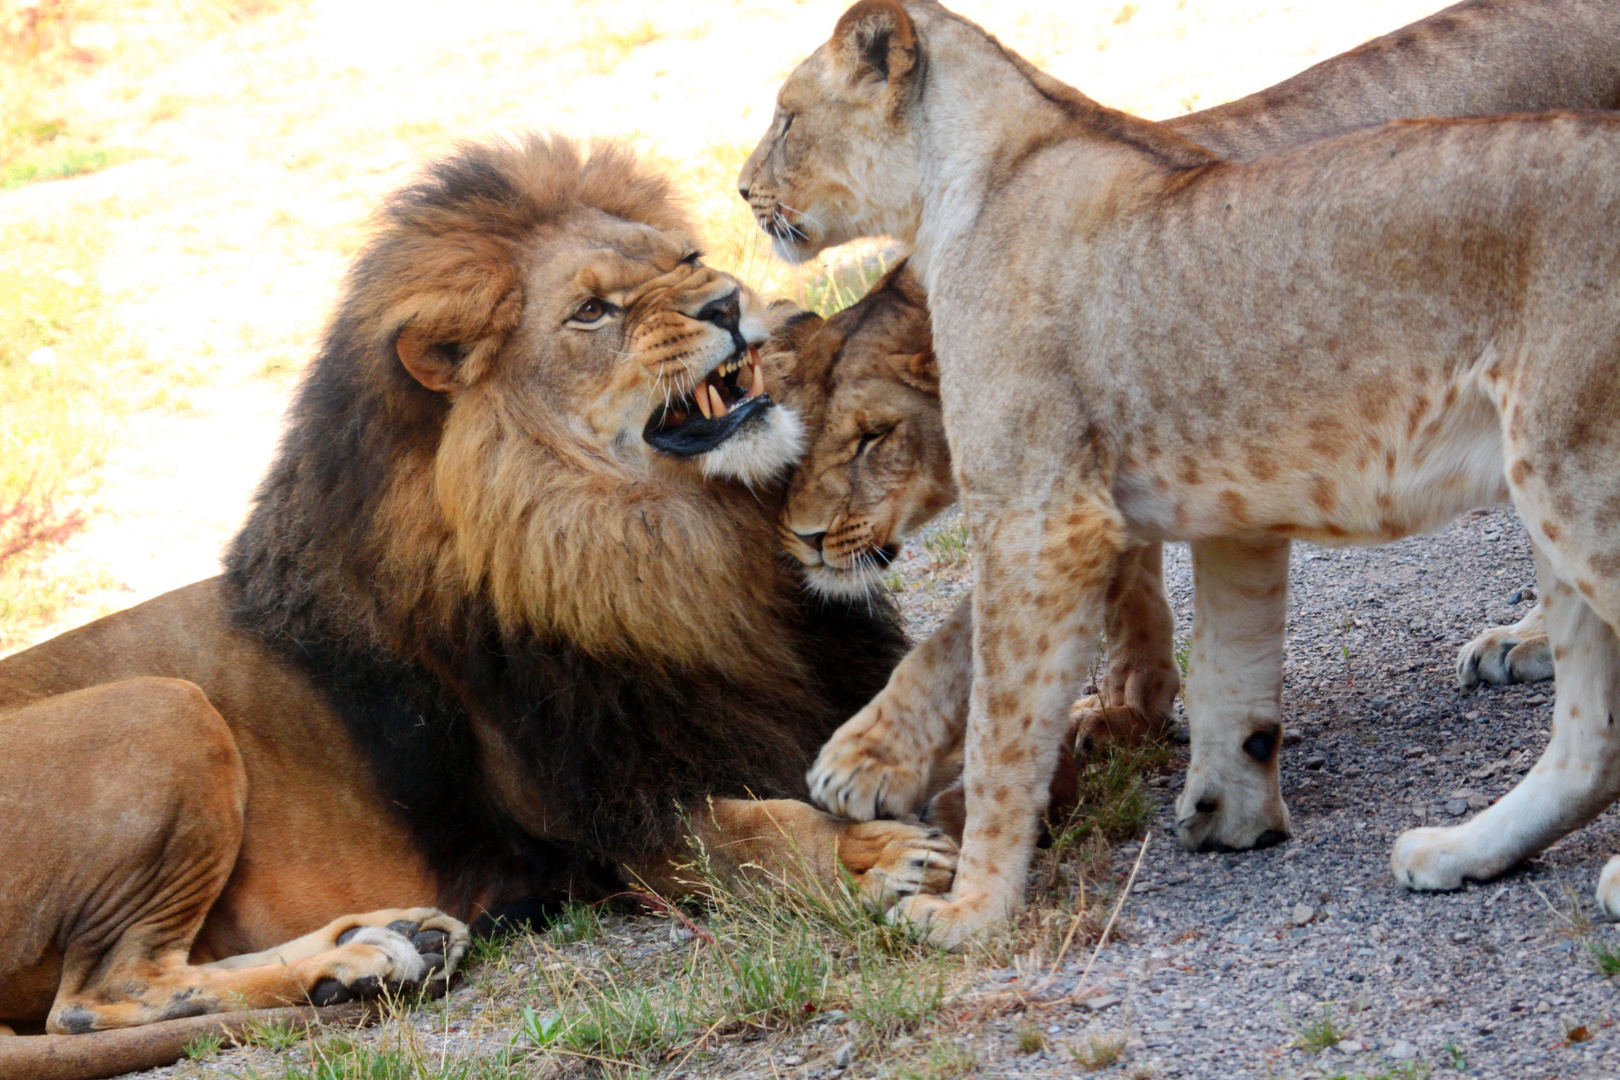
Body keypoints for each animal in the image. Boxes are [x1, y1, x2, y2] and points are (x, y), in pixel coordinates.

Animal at [0, 132, 952, 1055]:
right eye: (593, 311)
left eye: (687, 259)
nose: (725, 304)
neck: (659, 545)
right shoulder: (617, 826)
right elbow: (758, 834)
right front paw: (873, 857)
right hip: (162, 707)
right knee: (98, 997)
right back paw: (363, 961)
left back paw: (383, 946)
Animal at [741, 0, 1620, 945]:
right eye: (797, 435)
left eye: (872, 439)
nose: (743, 193)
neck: (981, 177)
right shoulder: (1227, 501)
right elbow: (1231, 671)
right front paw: (1232, 812)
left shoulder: (1043, 519)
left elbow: (992, 712)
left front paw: (966, 900)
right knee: (1591, 738)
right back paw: (1459, 849)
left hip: (1574, 479)